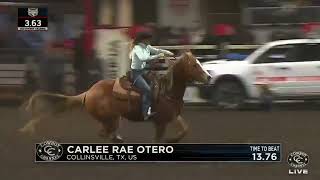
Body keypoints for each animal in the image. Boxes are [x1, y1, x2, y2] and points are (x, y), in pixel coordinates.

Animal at [18, 51, 211, 143]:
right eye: (194, 65)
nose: (209, 77)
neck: (166, 91)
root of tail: (88, 92)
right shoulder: (160, 122)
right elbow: (157, 139)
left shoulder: (172, 116)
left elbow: (185, 129)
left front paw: (173, 139)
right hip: (108, 118)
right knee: (105, 132)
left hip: (114, 118)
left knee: (108, 132)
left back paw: (117, 138)